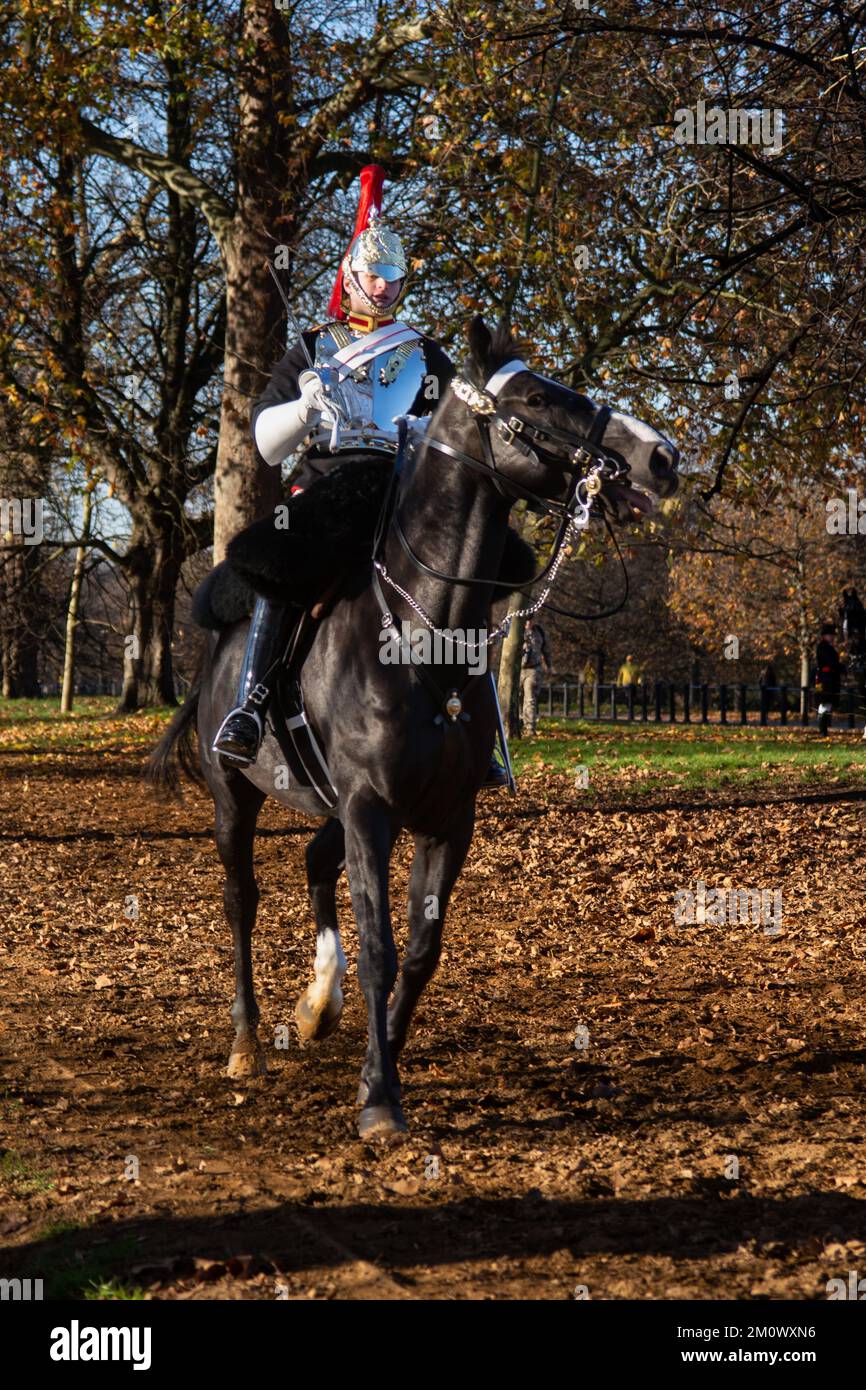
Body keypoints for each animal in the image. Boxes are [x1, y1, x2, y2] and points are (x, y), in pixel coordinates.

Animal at [148, 319, 678, 1134]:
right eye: (534, 398)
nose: (659, 455)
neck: (423, 636)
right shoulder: (371, 811)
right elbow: (382, 949)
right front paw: (379, 1102)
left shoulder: (445, 817)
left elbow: (423, 950)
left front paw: (380, 1065)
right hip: (234, 795)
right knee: (242, 901)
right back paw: (247, 1042)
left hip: (331, 803)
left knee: (313, 864)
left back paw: (317, 1007)